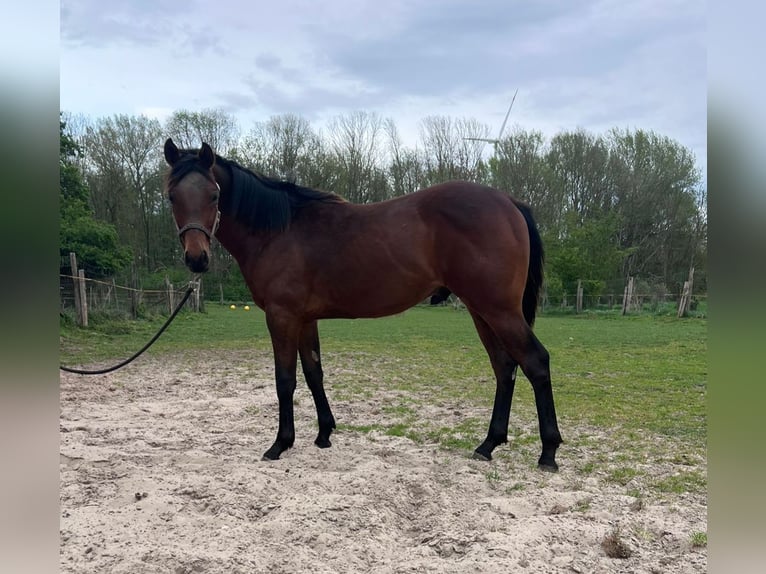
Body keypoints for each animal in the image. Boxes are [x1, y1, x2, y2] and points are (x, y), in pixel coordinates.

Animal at [163, 138, 563, 470]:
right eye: (171, 197)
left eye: (213, 196)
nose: (196, 259)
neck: (279, 231)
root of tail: (508, 202)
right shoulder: (305, 319)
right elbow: (314, 373)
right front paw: (324, 434)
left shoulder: (281, 317)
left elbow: (285, 380)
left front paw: (280, 444)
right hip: (482, 312)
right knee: (505, 367)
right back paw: (489, 444)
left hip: (499, 310)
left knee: (535, 362)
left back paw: (548, 452)